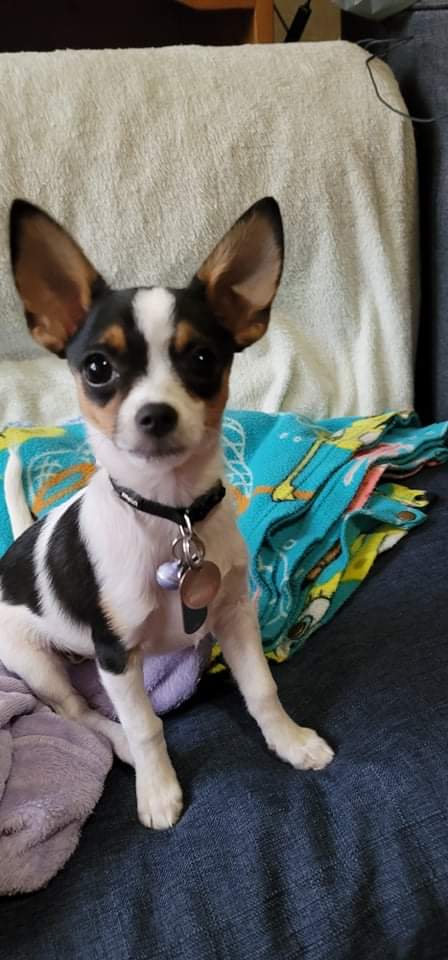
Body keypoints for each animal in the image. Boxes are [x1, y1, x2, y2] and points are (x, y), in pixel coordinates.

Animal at [0, 197, 333, 829]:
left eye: (202, 358)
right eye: (97, 368)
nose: (155, 414)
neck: (168, 513)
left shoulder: (234, 614)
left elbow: (261, 690)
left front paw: (290, 741)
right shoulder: (116, 655)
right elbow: (146, 724)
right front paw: (157, 790)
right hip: (34, 662)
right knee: (76, 712)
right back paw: (119, 746)